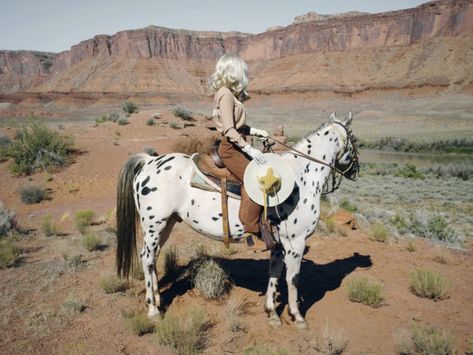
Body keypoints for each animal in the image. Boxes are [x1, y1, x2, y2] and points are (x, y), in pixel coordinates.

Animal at [116, 112, 356, 330]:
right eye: (354, 139)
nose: (355, 171)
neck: (300, 178)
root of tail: (149, 161)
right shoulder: (295, 242)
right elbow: (293, 279)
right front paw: (297, 316)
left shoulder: (279, 244)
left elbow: (274, 274)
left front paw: (272, 314)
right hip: (154, 225)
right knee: (147, 258)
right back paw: (153, 310)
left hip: (167, 224)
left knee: (154, 258)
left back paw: (157, 299)